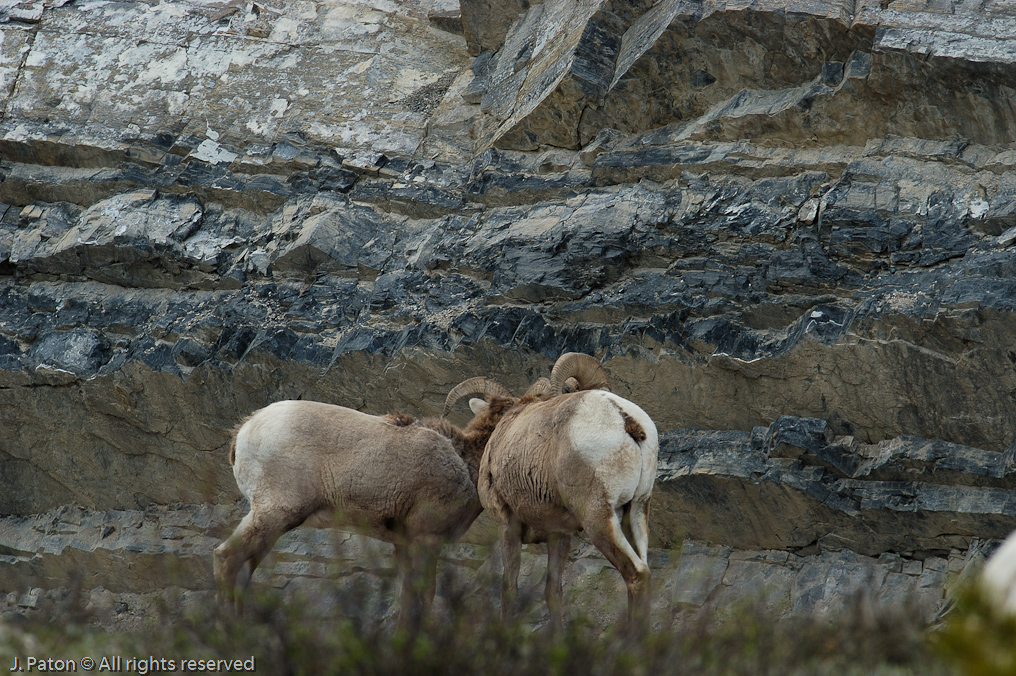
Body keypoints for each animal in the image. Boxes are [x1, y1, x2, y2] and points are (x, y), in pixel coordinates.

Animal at [218, 376, 524, 630]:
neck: (464, 462)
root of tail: (245, 430)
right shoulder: (427, 539)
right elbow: (425, 593)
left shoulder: (403, 543)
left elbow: (406, 596)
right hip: (276, 514)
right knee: (228, 558)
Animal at [473, 353, 662, 626]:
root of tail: (625, 420)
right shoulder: (559, 534)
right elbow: (553, 591)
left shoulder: (508, 525)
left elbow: (509, 589)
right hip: (636, 510)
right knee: (643, 571)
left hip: (598, 518)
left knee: (636, 574)